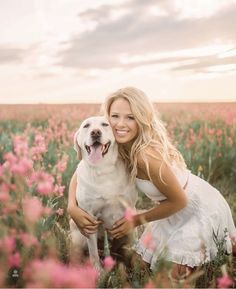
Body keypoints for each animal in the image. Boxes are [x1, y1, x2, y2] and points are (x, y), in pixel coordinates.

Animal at [70, 115, 136, 268]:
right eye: (86, 126)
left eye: (105, 124)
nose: (95, 133)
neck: (103, 169)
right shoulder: (89, 219)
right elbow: (93, 252)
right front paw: (98, 270)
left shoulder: (129, 209)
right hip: (76, 233)